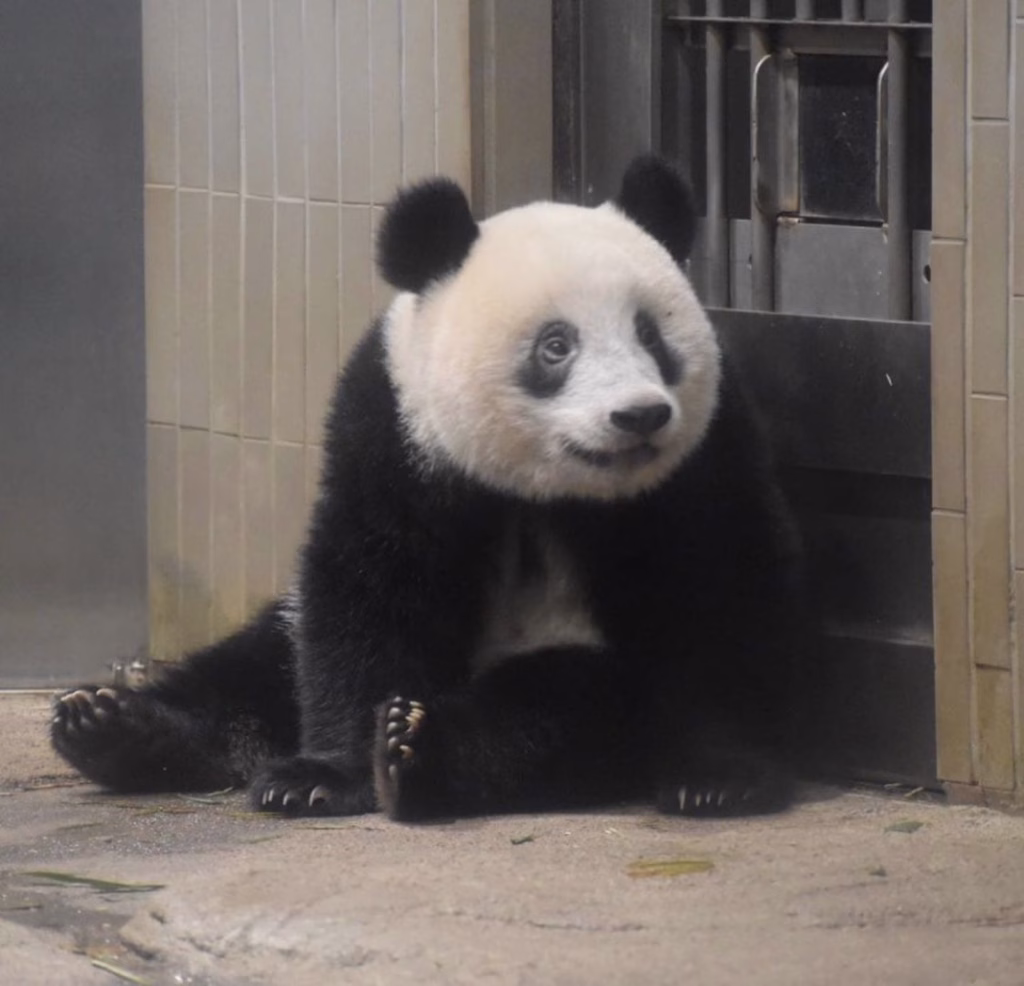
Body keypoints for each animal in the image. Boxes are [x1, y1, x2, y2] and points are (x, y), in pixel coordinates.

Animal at [51, 156, 802, 821]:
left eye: (651, 335)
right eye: (556, 346)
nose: (640, 416)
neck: (543, 489)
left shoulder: (704, 453)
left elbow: (718, 591)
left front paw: (718, 778)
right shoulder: (394, 432)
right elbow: (366, 592)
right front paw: (320, 779)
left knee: (554, 715)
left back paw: (420, 748)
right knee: (259, 659)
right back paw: (117, 727)